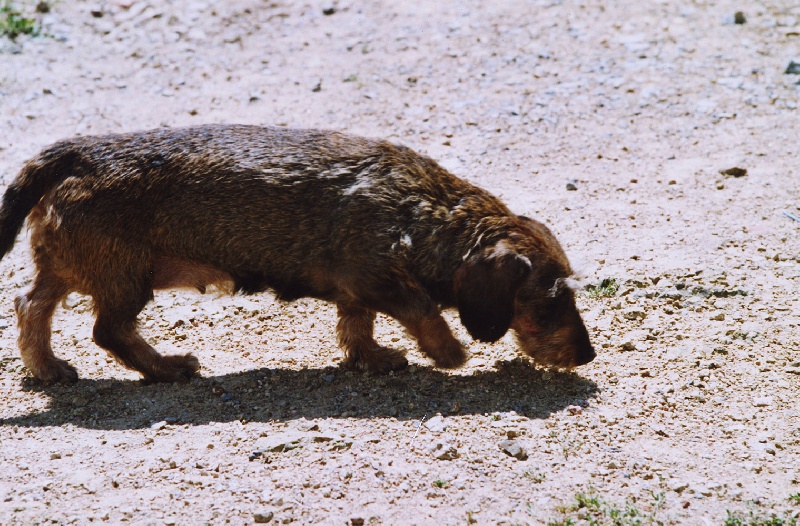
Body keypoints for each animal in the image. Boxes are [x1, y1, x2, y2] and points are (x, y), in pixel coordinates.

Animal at [0, 125, 592, 386]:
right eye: (551, 298)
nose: (587, 355)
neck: (421, 211)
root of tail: (80, 152)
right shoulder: (378, 280)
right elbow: (422, 310)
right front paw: (448, 352)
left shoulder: (358, 292)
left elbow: (357, 326)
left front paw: (374, 358)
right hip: (125, 278)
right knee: (109, 330)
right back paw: (167, 367)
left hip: (70, 266)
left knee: (31, 305)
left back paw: (47, 367)